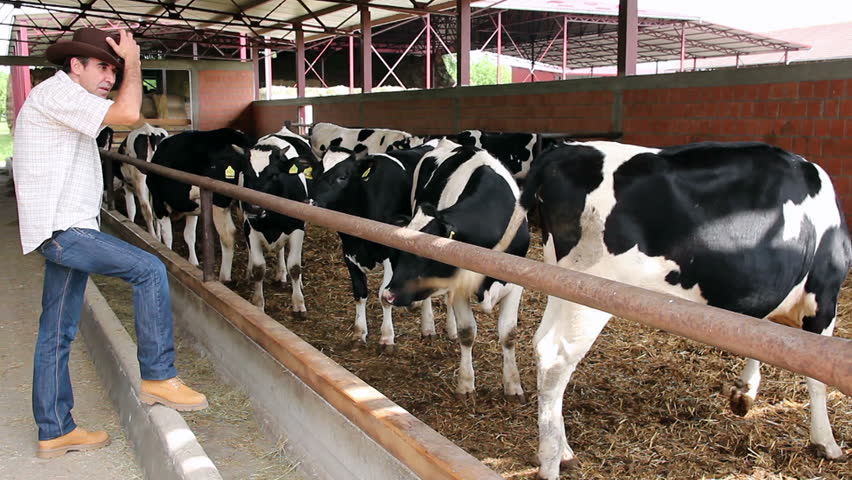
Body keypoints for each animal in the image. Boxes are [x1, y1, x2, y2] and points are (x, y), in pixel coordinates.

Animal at [146, 126, 255, 274]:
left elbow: (167, 235)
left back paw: (224, 275)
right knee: (248, 231)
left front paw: (167, 254)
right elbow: (189, 235)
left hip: (218, 203)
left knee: (228, 235)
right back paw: (251, 270)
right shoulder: (192, 207)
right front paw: (193, 262)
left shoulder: (159, 203)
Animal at [238, 125, 314, 316]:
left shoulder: (297, 228)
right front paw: (258, 303)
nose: (253, 207)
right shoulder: (250, 228)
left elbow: (294, 266)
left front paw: (298, 303)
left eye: (274, 175)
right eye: (246, 174)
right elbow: (259, 268)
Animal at [302, 141, 446, 350]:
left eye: (342, 177)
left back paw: (427, 327)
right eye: (314, 173)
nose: (310, 202)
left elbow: (383, 296)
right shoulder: (349, 252)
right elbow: (359, 293)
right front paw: (359, 332)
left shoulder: (390, 255)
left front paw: (386, 338)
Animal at [382, 139, 528, 398]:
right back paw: (428, 327)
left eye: (428, 254)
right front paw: (466, 384)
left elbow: (509, 334)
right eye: (401, 249)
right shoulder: (459, 286)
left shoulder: (516, 283)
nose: (389, 294)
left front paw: (513, 385)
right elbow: (467, 332)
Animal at [496, 141, 852, 478]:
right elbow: (816, 378)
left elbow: (763, 341)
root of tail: (564, 151)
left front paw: (744, 393)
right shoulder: (823, 297)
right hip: (588, 292)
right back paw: (551, 459)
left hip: (561, 283)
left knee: (542, 345)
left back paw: (565, 449)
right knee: (556, 357)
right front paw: (826, 441)